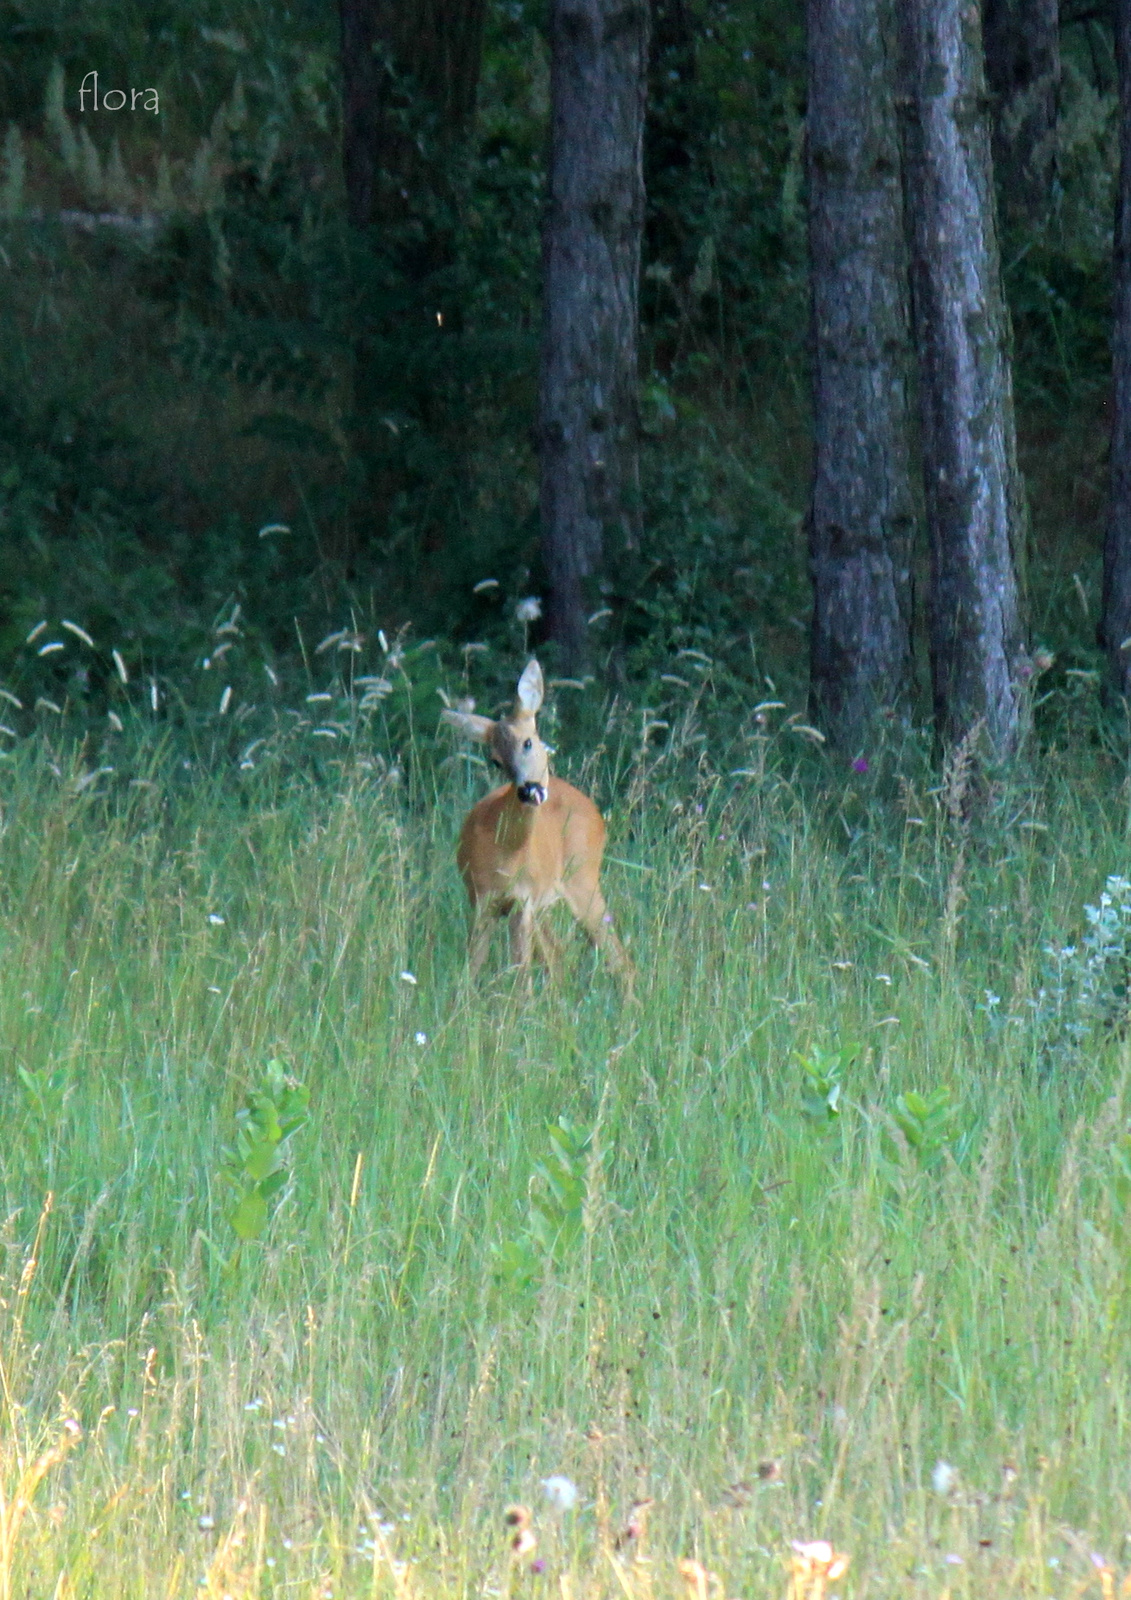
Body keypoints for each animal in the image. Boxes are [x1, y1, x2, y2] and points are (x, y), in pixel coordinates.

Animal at [441, 656, 636, 992]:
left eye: (528, 742)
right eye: (495, 760)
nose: (529, 789)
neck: (506, 854)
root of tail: (594, 811)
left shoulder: (523, 900)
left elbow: (521, 976)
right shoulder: (482, 896)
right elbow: (473, 967)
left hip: (583, 878)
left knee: (616, 957)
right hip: (548, 900)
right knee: (558, 959)